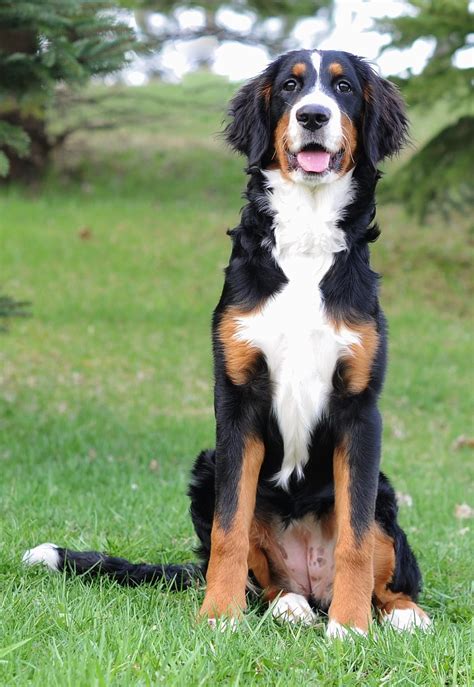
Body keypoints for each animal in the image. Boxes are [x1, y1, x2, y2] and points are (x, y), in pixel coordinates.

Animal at [25, 48, 434, 640]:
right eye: (290, 87)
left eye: (344, 89)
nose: (313, 115)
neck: (306, 241)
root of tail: (312, 583)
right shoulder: (237, 400)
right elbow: (229, 528)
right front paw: (219, 614)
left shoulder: (361, 410)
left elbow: (356, 538)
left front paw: (351, 627)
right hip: (206, 465)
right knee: (267, 582)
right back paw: (288, 605)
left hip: (382, 487)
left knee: (387, 567)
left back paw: (398, 611)